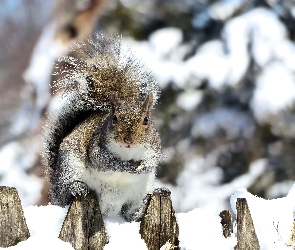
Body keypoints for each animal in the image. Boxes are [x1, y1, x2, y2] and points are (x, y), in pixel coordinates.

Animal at [43, 32, 164, 221]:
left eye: (146, 120)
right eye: (114, 119)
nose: (128, 140)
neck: (128, 153)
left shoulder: (155, 146)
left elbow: (154, 159)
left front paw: (144, 165)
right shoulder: (96, 146)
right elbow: (103, 160)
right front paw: (125, 166)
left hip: (138, 192)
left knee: (132, 214)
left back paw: (152, 197)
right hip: (69, 168)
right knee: (66, 193)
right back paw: (76, 187)